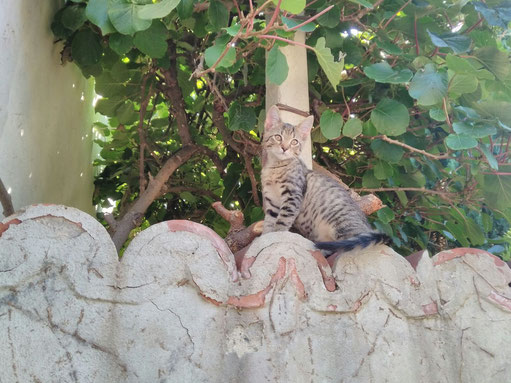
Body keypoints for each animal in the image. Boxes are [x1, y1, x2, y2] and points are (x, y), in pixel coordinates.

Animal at [262, 105, 390, 256]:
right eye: (278, 137)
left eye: (294, 142)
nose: (284, 148)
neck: (275, 168)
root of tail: (367, 227)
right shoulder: (272, 201)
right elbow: (269, 222)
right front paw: (264, 237)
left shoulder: (293, 195)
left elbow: (282, 221)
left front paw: (277, 234)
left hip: (341, 223)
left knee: (348, 245)